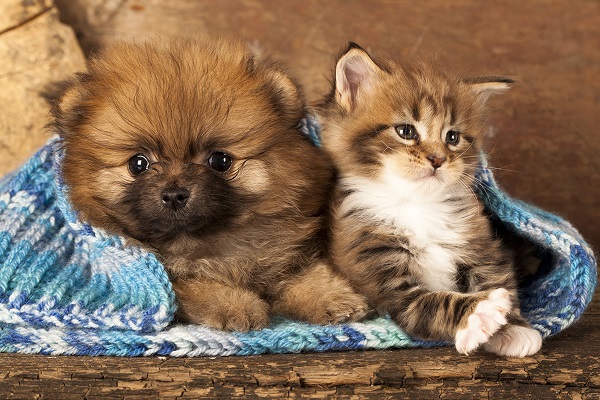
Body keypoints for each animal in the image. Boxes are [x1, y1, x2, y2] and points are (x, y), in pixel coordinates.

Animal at [51, 35, 368, 332]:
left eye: (220, 161)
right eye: (138, 164)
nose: (174, 194)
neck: (206, 239)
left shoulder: (287, 254)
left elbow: (308, 276)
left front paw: (334, 299)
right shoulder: (171, 279)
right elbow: (202, 285)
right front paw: (237, 306)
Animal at [318, 43, 544, 356]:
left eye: (452, 137)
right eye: (406, 131)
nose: (437, 159)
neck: (415, 205)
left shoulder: (481, 245)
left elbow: (498, 278)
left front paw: (513, 328)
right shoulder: (382, 274)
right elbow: (436, 303)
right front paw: (481, 313)